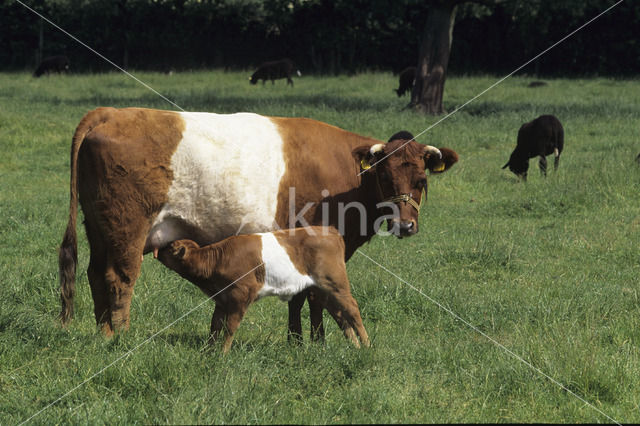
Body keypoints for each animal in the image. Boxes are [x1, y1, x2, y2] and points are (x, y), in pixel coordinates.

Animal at [60, 108, 458, 338]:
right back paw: (121, 337)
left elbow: (300, 295)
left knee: (95, 275)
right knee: (119, 278)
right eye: (386, 179)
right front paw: (316, 343)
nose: (406, 226)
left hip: (100, 228)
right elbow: (315, 295)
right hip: (127, 227)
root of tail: (112, 112)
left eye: (421, 180)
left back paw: (102, 334)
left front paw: (297, 343)